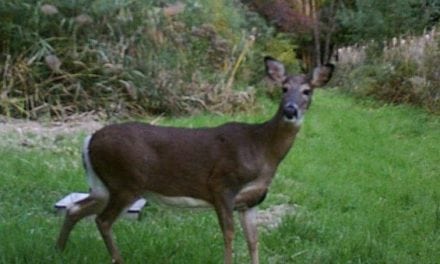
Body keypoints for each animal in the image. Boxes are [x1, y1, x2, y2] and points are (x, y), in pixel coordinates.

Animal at [56, 56, 336, 262]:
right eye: (284, 89)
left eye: (307, 91)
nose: (290, 110)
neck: (262, 149)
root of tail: (89, 139)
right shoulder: (222, 184)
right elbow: (229, 234)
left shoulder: (251, 201)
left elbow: (253, 240)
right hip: (125, 181)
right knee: (102, 220)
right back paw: (117, 259)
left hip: (105, 186)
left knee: (75, 208)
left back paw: (59, 250)